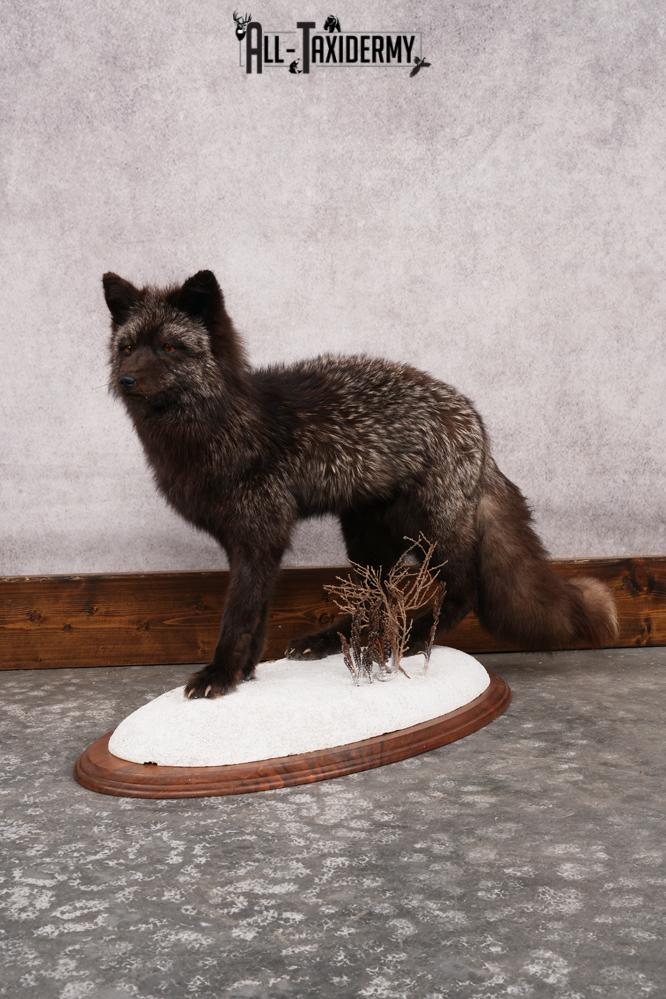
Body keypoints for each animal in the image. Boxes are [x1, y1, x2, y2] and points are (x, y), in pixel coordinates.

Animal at [102, 269, 618, 699]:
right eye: (127, 348)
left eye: (170, 348)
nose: (125, 380)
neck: (222, 428)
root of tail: (475, 419)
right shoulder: (247, 541)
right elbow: (258, 616)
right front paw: (246, 674)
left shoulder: (261, 534)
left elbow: (239, 616)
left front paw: (223, 674)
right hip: (366, 535)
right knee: (379, 597)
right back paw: (338, 643)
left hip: (430, 530)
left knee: (463, 590)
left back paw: (412, 639)